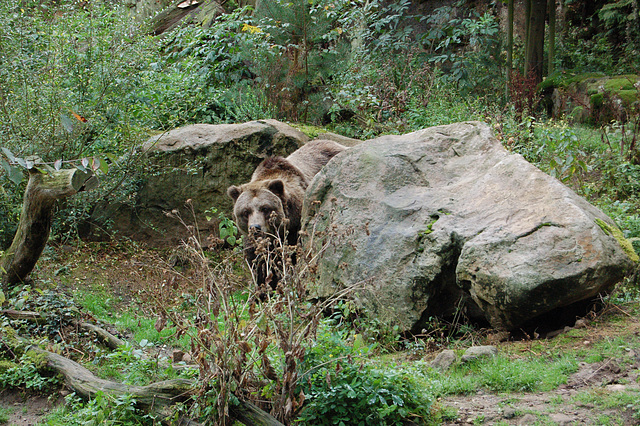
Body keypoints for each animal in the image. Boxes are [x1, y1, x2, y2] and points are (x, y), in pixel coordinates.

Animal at [228, 140, 348, 290]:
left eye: (265, 208)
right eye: (245, 211)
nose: (255, 228)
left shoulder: (295, 227)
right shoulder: (252, 242)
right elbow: (259, 264)